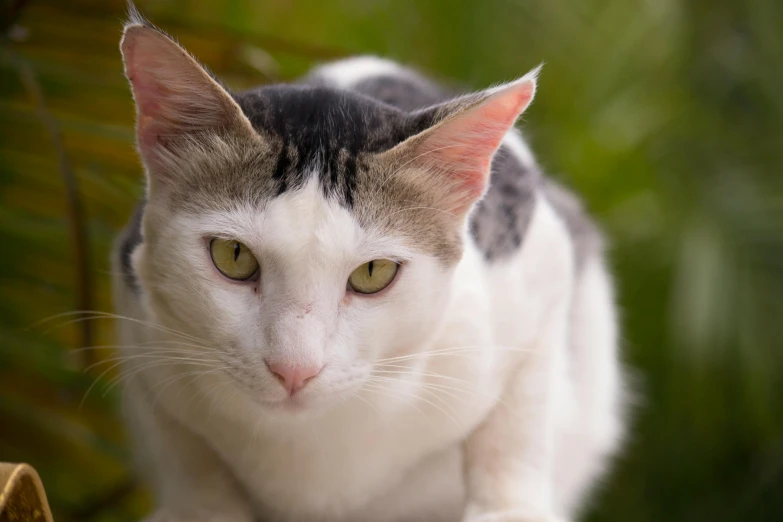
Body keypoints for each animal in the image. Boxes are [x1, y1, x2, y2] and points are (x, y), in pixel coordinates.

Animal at [112, 5, 624, 520]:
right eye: (233, 256)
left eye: (373, 274)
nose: (294, 370)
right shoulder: (139, 324)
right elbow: (184, 453)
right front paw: (202, 507)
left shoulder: (543, 258)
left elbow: (518, 417)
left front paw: (507, 505)